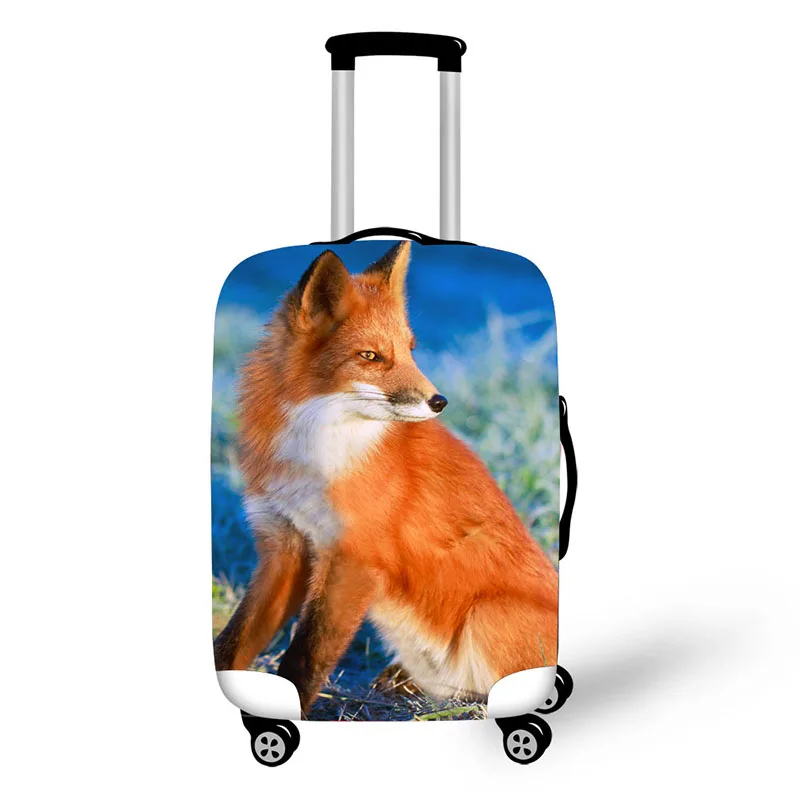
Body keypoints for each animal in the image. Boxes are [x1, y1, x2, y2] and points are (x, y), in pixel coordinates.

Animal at [214, 241, 558, 715]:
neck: (315, 454)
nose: (439, 401)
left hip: (486, 616)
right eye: (370, 356)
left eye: (411, 348)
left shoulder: (354, 560)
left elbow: (306, 658)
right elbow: (232, 644)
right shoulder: (284, 547)